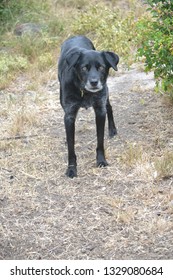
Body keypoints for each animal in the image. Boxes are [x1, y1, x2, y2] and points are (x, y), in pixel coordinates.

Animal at [58, 36, 119, 178]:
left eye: (101, 67)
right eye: (84, 68)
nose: (94, 82)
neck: (84, 92)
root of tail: (76, 36)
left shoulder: (100, 110)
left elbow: (100, 140)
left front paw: (101, 160)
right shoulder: (69, 115)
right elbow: (71, 146)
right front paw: (71, 169)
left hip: (105, 95)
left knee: (109, 107)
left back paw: (112, 130)